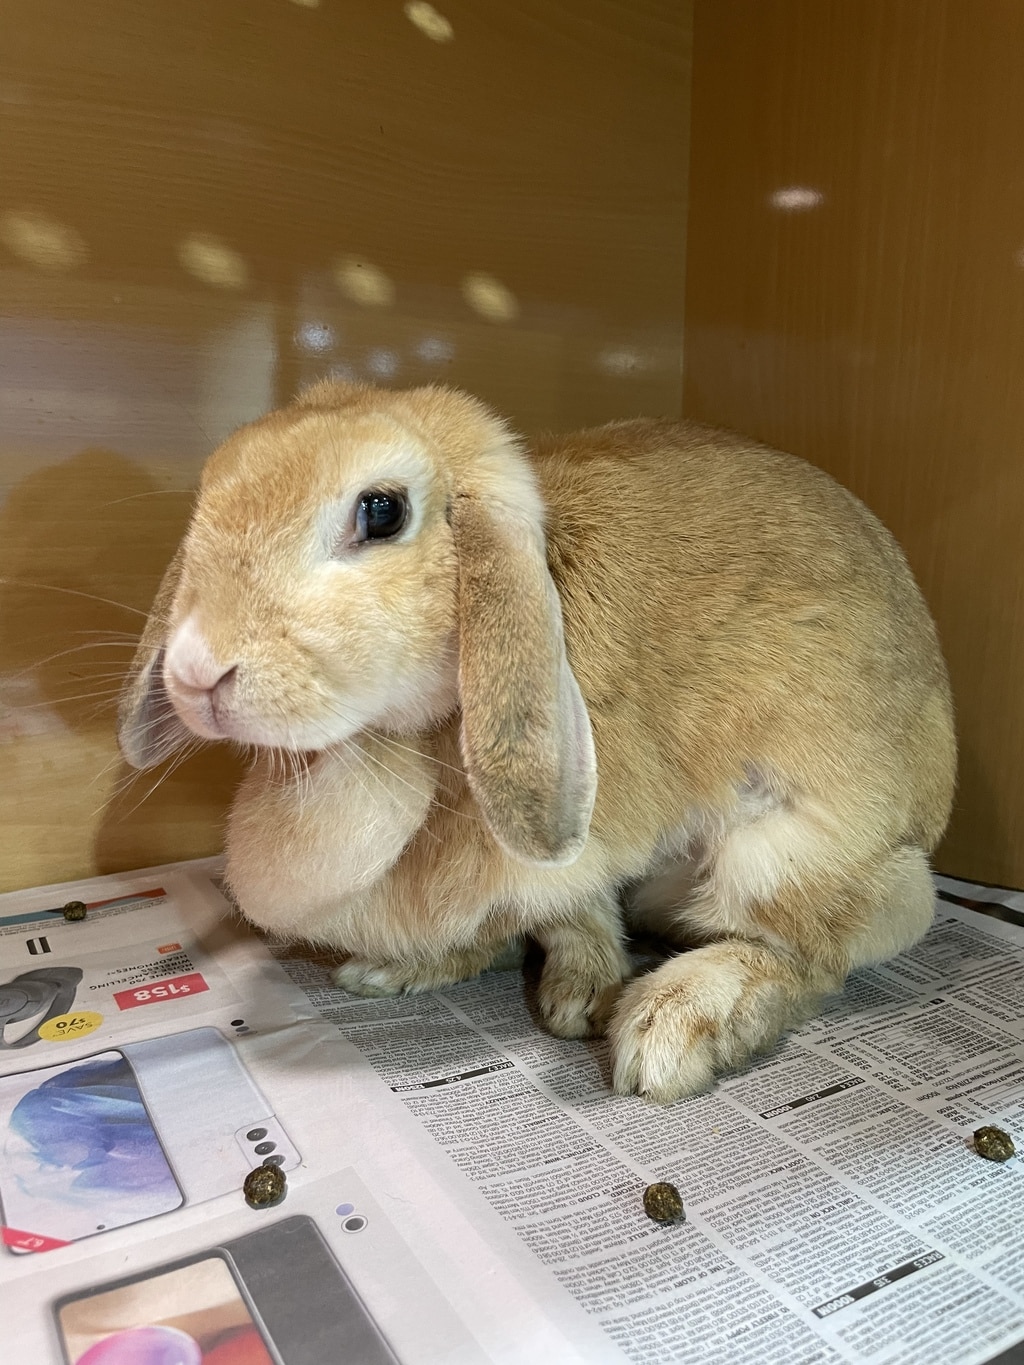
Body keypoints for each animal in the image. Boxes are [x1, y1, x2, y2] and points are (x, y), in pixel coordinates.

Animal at [118, 380, 956, 1103]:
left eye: (381, 511)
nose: (196, 671)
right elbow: (567, 917)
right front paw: (547, 988)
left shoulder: (580, 845)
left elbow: (573, 905)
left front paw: (589, 1003)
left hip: (789, 852)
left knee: (809, 955)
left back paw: (673, 1025)